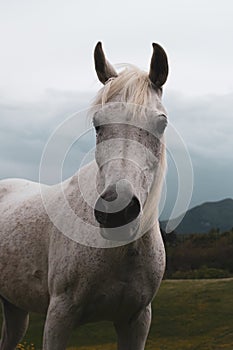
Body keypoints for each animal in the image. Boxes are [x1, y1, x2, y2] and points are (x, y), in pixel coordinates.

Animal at [0, 41, 168, 350]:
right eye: (97, 124)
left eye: (161, 124)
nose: (118, 212)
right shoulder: (59, 316)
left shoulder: (136, 321)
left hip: (15, 308)